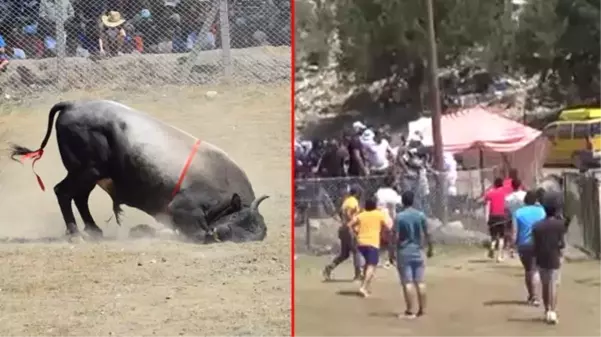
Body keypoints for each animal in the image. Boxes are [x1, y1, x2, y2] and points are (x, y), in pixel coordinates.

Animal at [8, 99, 268, 242]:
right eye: (238, 220)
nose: (222, 233)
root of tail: (72, 104)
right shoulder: (183, 208)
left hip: (90, 175)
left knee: (79, 198)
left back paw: (93, 230)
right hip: (86, 171)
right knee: (63, 192)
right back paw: (75, 233)